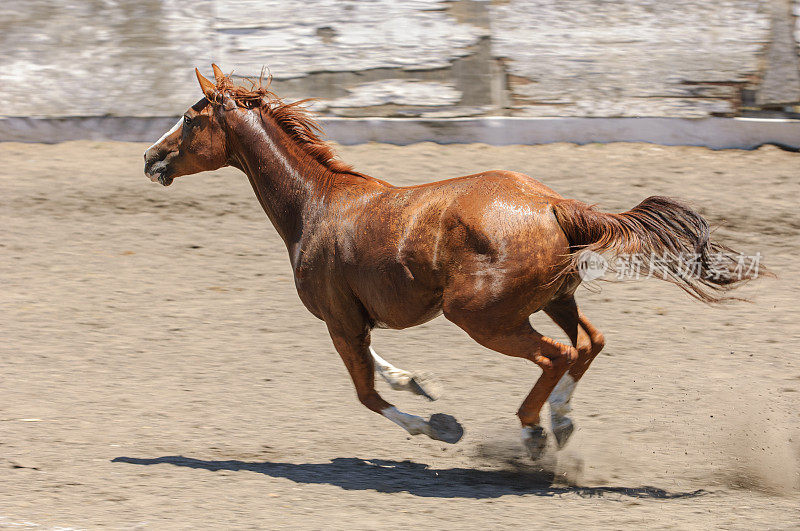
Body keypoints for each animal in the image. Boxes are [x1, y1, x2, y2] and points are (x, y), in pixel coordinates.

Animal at [145, 65, 756, 458]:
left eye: (190, 117)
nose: (151, 157)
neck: (316, 205)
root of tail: (551, 204)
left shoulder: (338, 321)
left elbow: (367, 394)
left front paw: (439, 426)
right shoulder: (353, 320)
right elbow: (380, 367)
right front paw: (418, 383)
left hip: (483, 317)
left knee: (557, 354)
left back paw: (533, 433)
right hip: (555, 298)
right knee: (588, 343)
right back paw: (560, 420)